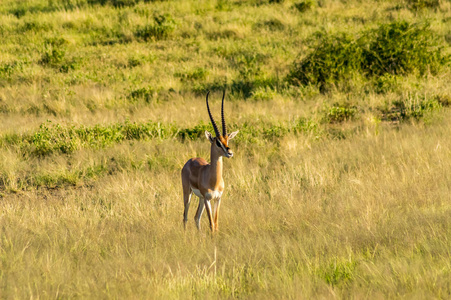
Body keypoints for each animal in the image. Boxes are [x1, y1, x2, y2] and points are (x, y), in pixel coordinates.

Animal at [182, 91, 240, 232]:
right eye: (218, 142)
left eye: (227, 139)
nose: (230, 153)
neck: (214, 180)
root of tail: (190, 160)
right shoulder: (208, 199)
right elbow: (211, 224)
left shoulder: (217, 199)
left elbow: (216, 224)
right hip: (188, 193)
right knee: (185, 216)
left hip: (201, 199)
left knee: (196, 217)